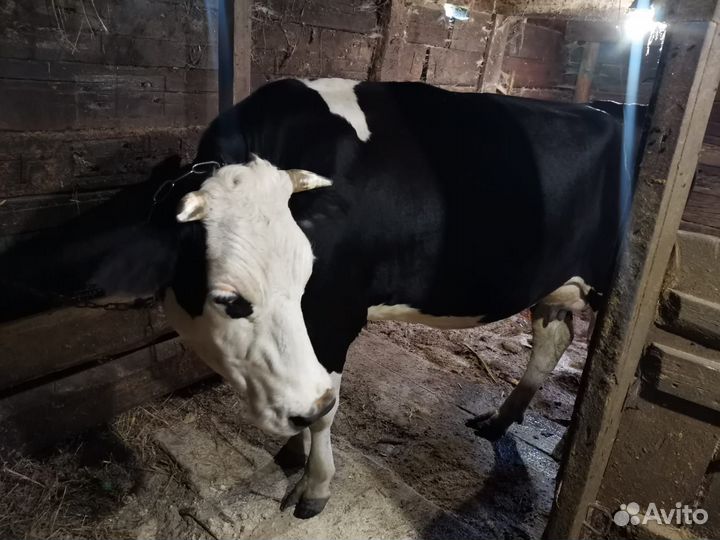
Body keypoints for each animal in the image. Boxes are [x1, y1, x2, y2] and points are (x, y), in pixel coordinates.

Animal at [0, 78, 644, 519]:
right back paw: (500, 419)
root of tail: (618, 106)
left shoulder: (335, 314)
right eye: (230, 300)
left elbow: (327, 405)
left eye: (305, 276)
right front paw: (293, 449)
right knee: (553, 337)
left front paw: (314, 484)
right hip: (555, 280)